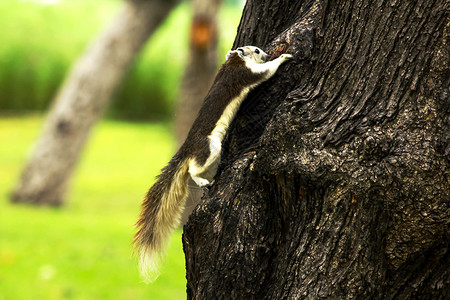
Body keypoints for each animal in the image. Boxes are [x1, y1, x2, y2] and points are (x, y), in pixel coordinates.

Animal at [135, 45, 294, 282]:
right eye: (256, 50)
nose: (266, 54)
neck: (233, 62)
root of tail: (188, 149)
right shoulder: (246, 73)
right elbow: (265, 72)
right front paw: (283, 57)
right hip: (210, 147)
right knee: (193, 169)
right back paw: (202, 181)